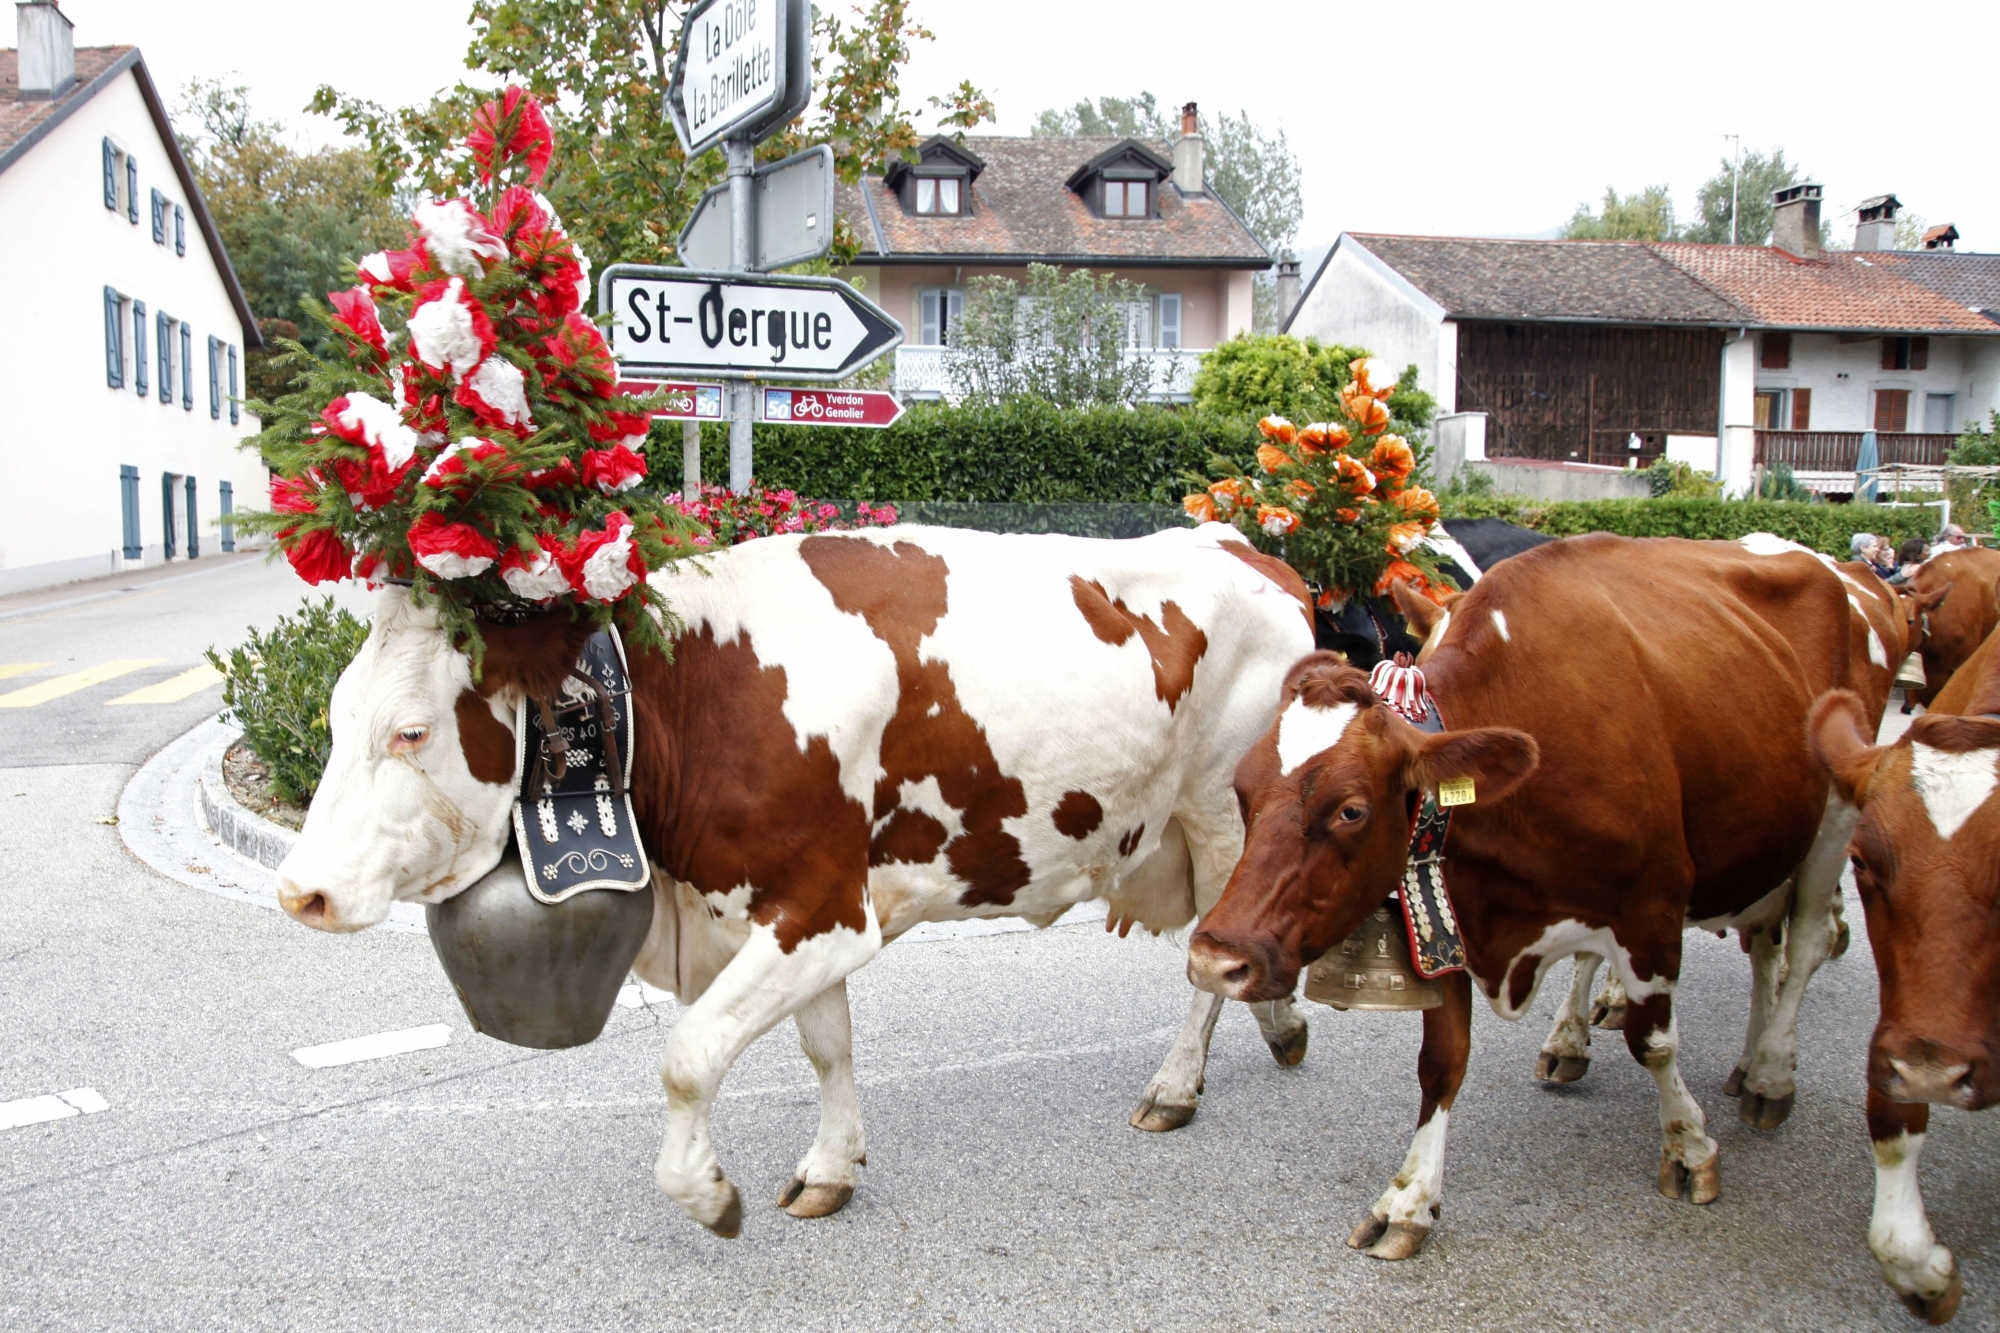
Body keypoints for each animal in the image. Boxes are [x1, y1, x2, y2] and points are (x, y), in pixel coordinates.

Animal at [274, 524, 1320, 1232]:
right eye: (333, 712)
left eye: (412, 731)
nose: (299, 891)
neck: (698, 694)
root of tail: (1245, 546)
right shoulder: (800, 901)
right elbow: (828, 1046)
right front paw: (831, 1167)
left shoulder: (819, 909)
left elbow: (689, 1053)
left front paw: (709, 1195)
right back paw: (1282, 1025)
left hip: (1223, 816)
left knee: (1209, 960)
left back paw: (1177, 1085)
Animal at [1176, 532, 1896, 1256]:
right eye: (1242, 788)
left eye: (1350, 809)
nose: (1215, 958)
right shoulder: (1447, 915)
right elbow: (1442, 1061)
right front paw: (1409, 1199)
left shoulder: (1652, 908)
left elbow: (1654, 1041)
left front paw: (1690, 1146)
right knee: (1759, 946)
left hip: (1832, 819)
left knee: (1802, 944)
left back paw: (1770, 1071)